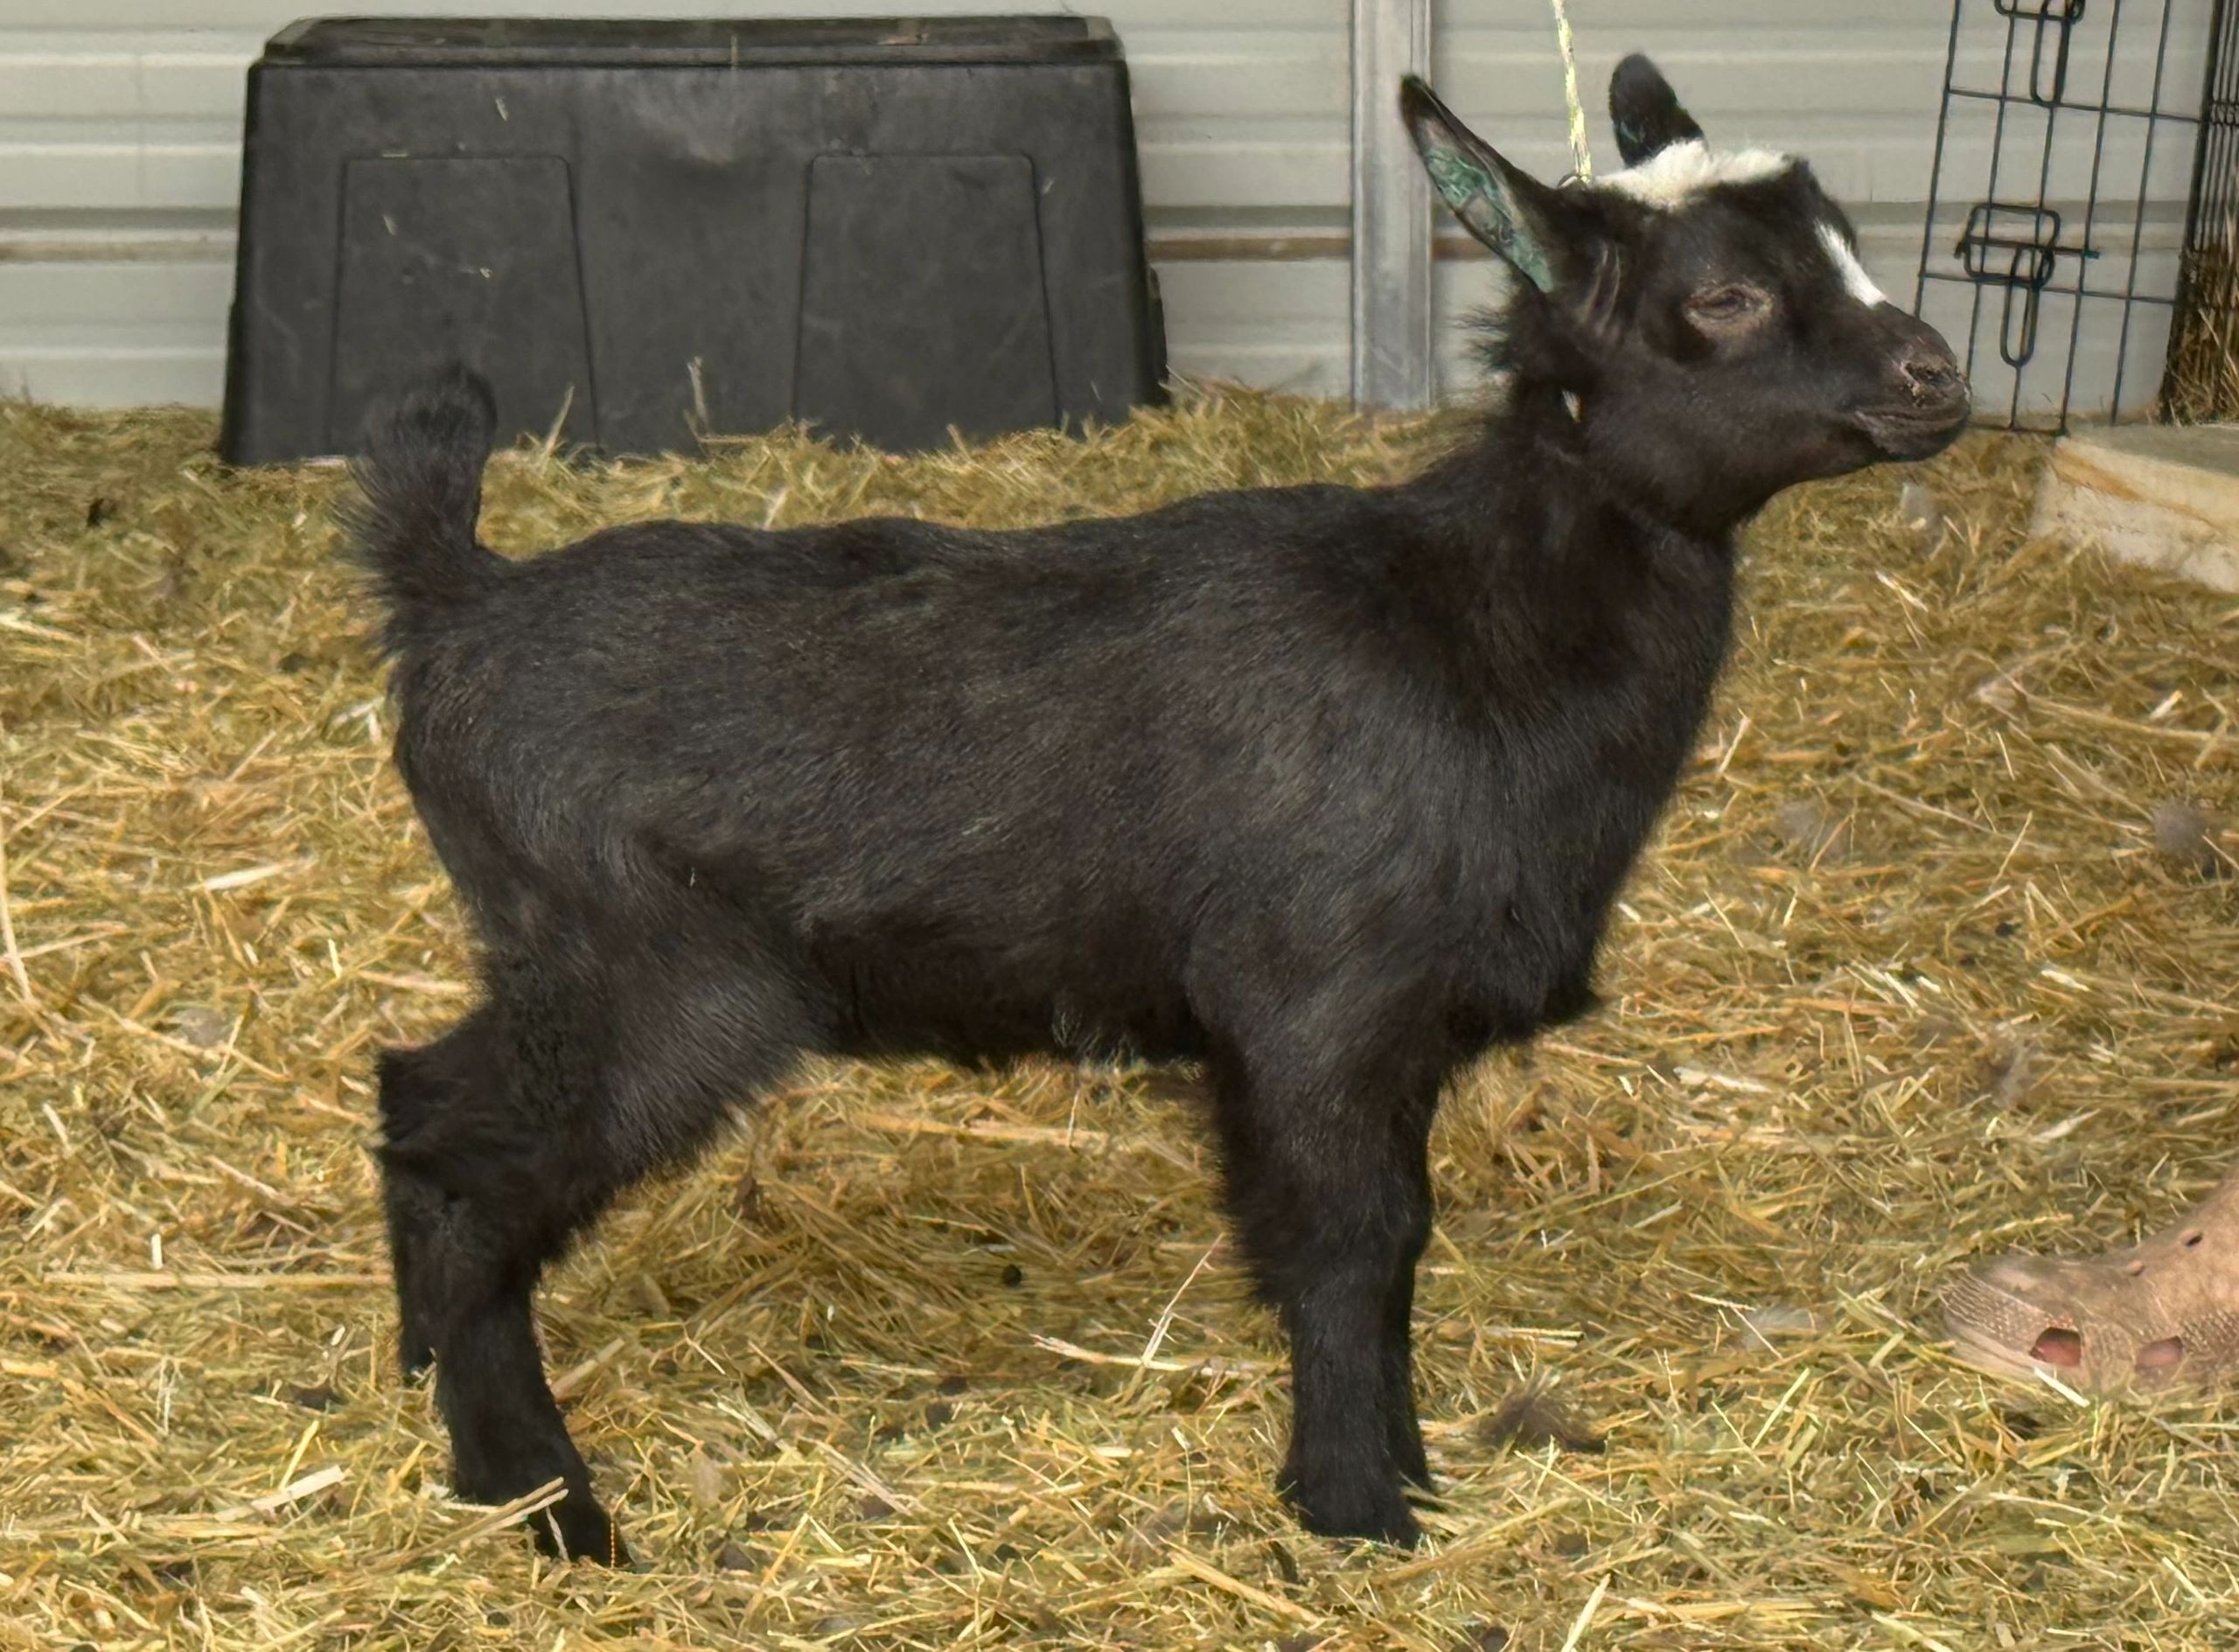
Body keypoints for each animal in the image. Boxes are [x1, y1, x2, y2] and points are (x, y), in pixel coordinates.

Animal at [347, 55, 1969, 1562]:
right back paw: (546, 1502)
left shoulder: (1391, 1036)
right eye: (1726, 296)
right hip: (658, 978)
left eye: (1849, 236)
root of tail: (458, 598)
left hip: (561, 963)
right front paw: (1355, 1507)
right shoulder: (1310, 1009)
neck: (1472, 628)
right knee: (465, 1183)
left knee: (415, 1092)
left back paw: (430, 1384)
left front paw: (1402, 1473)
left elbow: (1397, 1245)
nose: (1935, 379)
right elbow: (1347, 1248)